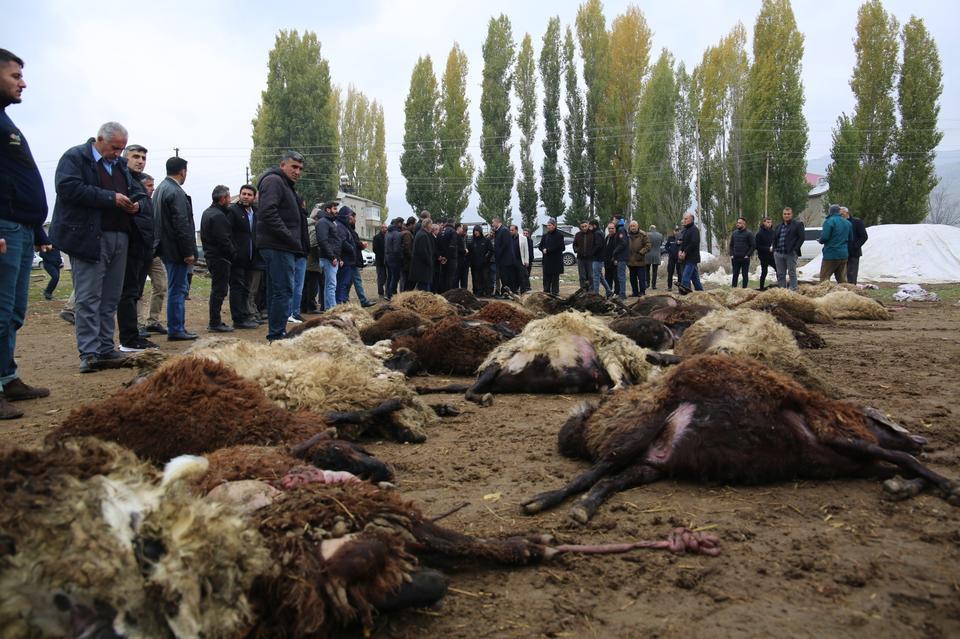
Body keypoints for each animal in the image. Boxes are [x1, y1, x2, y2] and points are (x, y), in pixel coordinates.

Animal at [520, 356, 956, 524]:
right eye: (887, 419)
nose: (920, 438)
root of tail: (586, 424)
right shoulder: (842, 439)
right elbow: (906, 461)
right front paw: (950, 486)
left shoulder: (857, 461)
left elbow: (902, 468)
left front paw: (905, 487)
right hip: (635, 434)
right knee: (594, 473)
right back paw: (545, 502)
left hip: (652, 463)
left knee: (610, 480)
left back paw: (584, 508)